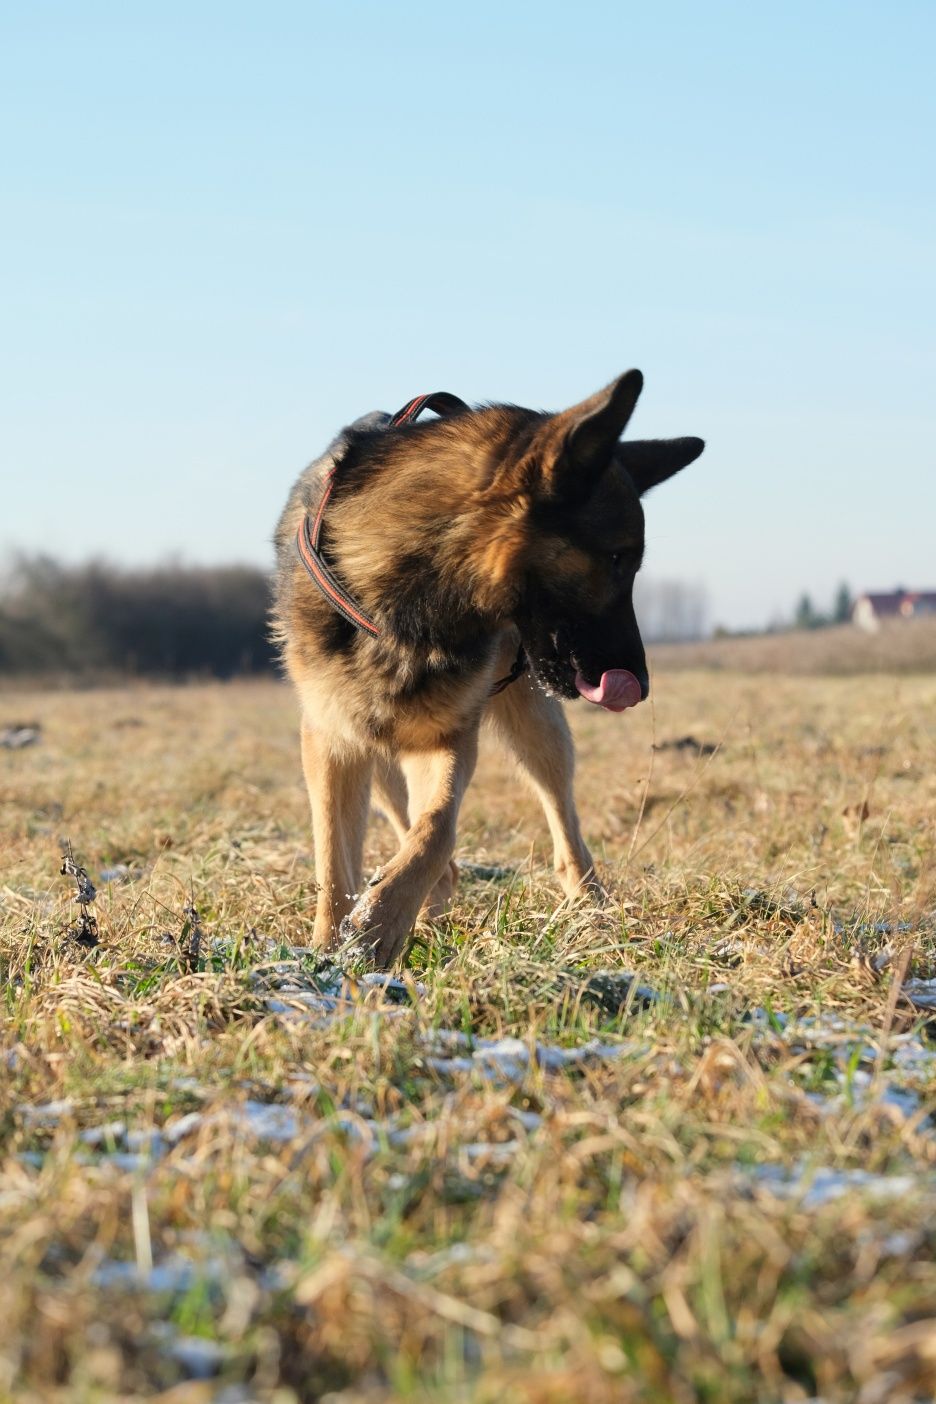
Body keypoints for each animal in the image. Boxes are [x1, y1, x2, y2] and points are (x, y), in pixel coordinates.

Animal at [270, 370, 701, 965]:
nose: (638, 685)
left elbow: (436, 829)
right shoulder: (333, 741)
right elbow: (335, 862)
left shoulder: (449, 736)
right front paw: (326, 951)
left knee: (562, 822)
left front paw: (382, 921)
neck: (409, 599)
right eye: (617, 558)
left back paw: (590, 911)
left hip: (535, 726)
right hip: (379, 747)